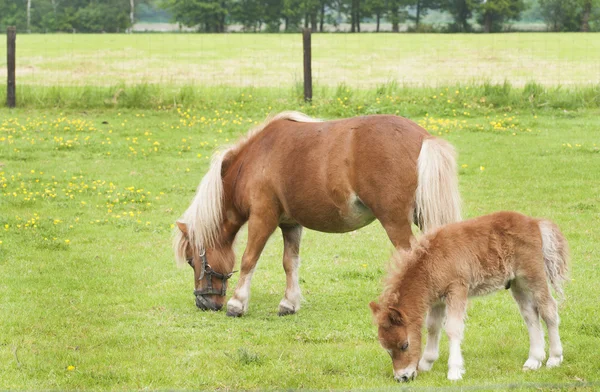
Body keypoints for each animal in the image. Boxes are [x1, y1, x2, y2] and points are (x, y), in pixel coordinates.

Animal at [368, 211, 568, 382]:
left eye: (404, 345)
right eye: (387, 349)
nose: (402, 377)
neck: (432, 260)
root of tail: (535, 223)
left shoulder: (457, 289)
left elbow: (452, 328)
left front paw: (454, 371)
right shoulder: (437, 299)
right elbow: (432, 326)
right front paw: (427, 363)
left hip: (533, 274)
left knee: (548, 309)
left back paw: (554, 358)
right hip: (517, 282)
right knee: (530, 315)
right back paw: (533, 361)